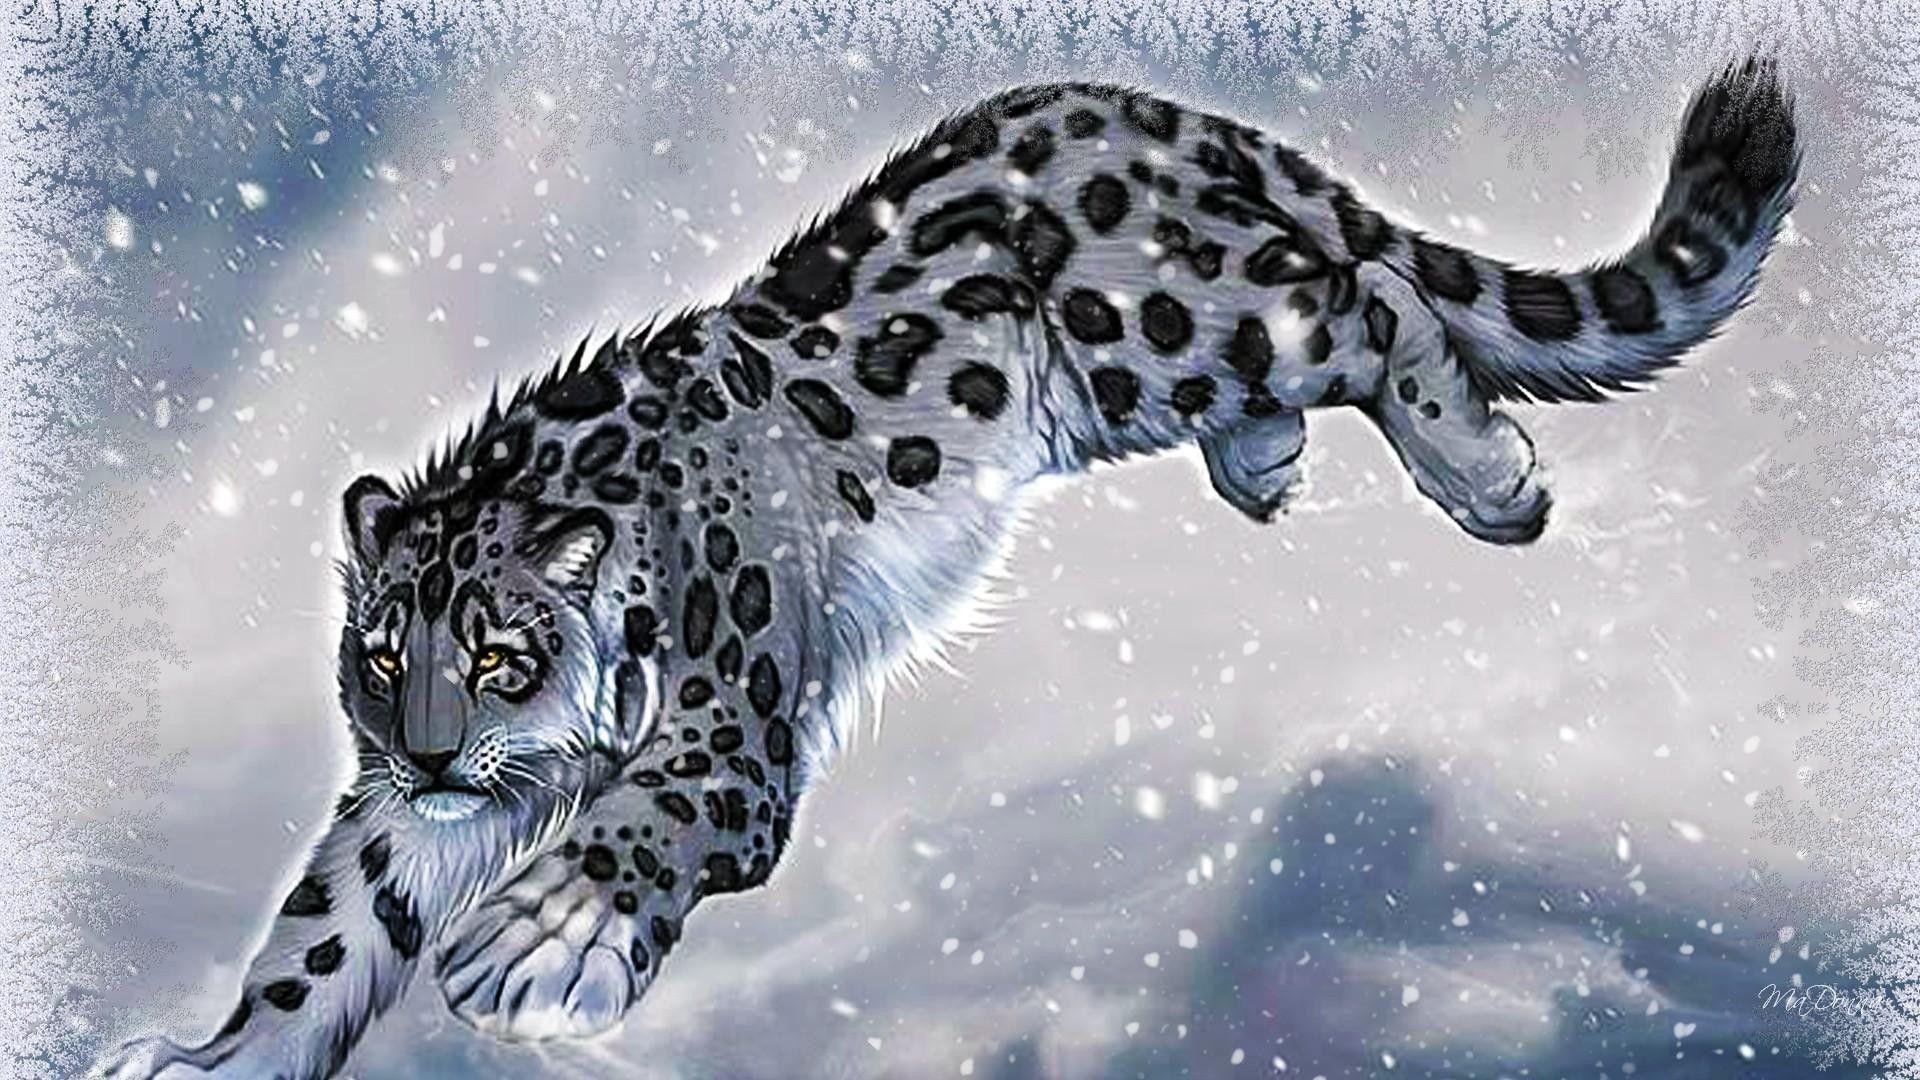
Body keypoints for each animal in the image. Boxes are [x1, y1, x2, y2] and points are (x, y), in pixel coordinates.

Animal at [100, 57, 1798, 1078]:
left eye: (503, 654)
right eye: (383, 657)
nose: (438, 755)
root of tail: (1170, 113)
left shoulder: (727, 726)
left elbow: (646, 816)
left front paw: (536, 940)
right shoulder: (395, 822)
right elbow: (325, 926)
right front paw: (206, 1059)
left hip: (1164, 321)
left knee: (1367, 293)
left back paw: (1486, 478)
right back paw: (1267, 464)